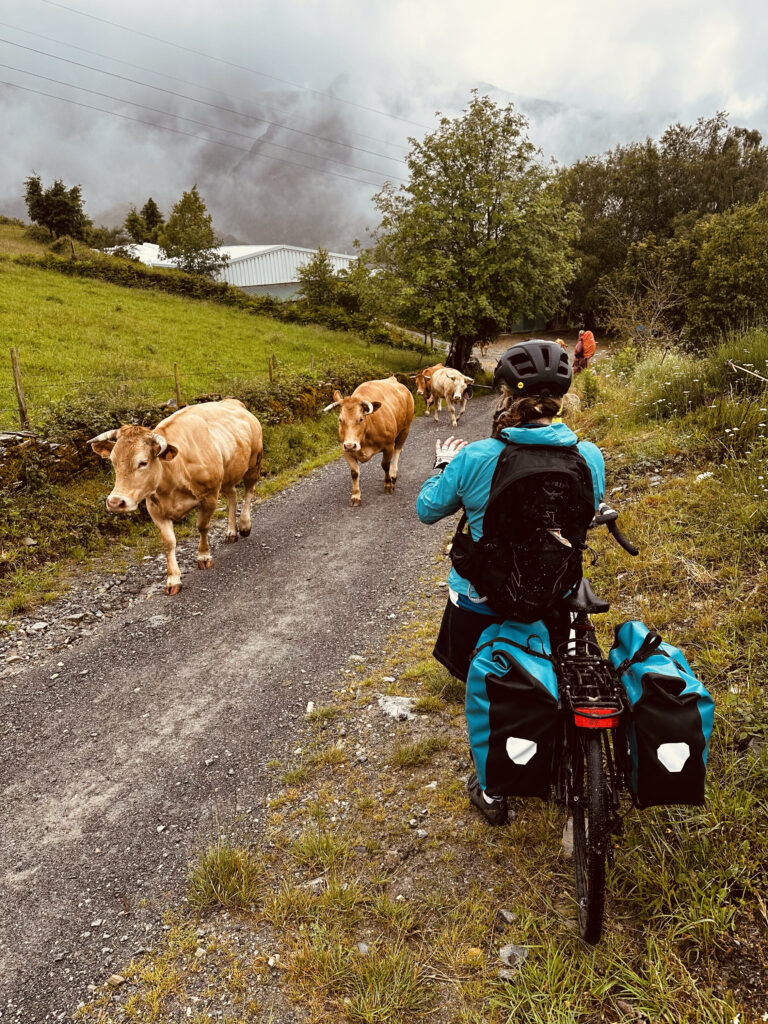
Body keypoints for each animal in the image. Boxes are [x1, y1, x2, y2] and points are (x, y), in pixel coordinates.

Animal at [88, 397, 264, 593]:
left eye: (143, 462)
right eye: (113, 461)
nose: (115, 502)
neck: (173, 472)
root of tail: (232, 401)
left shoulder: (209, 496)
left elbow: (202, 526)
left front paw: (203, 556)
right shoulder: (155, 509)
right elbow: (168, 542)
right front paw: (173, 579)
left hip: (254, 463)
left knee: (249, 491)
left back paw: (244, 525)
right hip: (228, 474)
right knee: (232, 496)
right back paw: (231, 532)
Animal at [325, 374, 415, 505]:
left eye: (361, 419)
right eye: (340, 419)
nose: (351, 445)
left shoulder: (388, 445)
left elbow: (385, 465)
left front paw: (388, 484)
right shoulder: (345, 450)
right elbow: (354, 472)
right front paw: (355, 495)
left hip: (405, 429)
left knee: (397, 451)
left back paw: (393, 475)